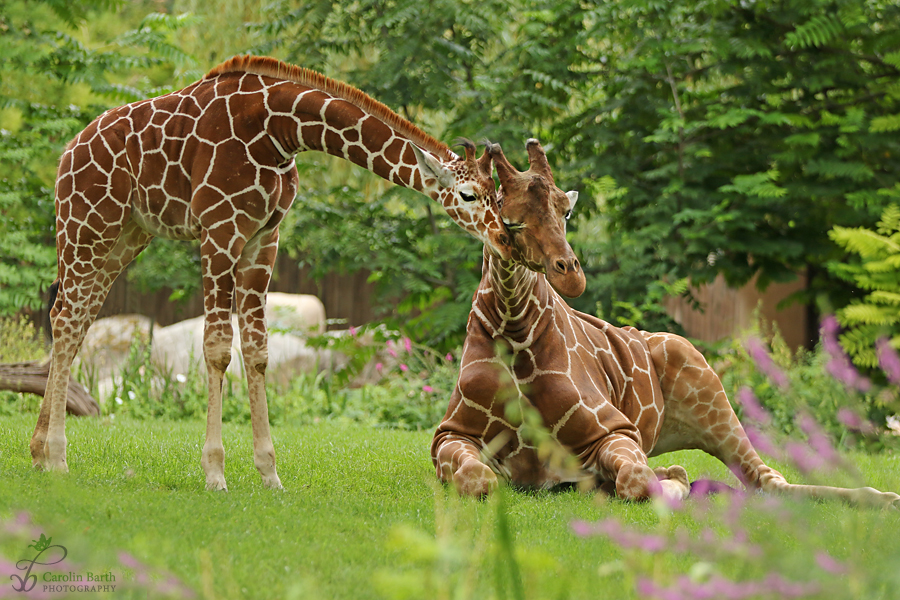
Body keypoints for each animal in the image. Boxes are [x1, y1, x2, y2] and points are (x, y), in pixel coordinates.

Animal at [37, 54, 512, 490]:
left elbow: (257, 350)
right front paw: (215, 474)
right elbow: (217, 348)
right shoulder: (220, 229)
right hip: (86, 226)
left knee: (73, 319)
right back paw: (57, 459)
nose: (504, 237)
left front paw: (269, 474)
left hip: (126, 235)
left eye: (497, 194)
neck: (279, 132)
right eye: (468, 195)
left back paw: (39, 451)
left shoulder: (264, 237)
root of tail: (66, 153)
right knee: (67, 319)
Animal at [432, 139, 896, 506]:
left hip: (710, 395)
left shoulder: (615, 430)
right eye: (511, 220)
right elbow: (479, 480)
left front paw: (666, 484)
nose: (571, 275)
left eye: (565, 212)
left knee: (769, 481)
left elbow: (638, 480)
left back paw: (884, 497)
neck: (514, 327)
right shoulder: (449, 436)